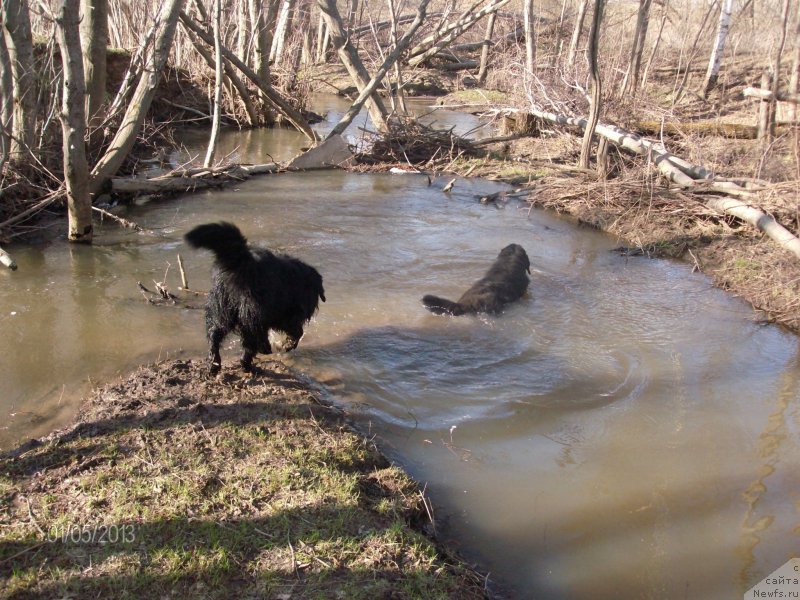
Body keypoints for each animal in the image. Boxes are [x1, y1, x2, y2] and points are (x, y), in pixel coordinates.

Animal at [184, 223, 324, 372]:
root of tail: (243, 262)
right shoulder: (288, 314)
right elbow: (297, 332)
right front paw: (288, 345)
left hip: (221, 309)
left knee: (215, 336)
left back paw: (215, 364)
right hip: (251, 312)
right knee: (251, 342)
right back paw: (254, 359)